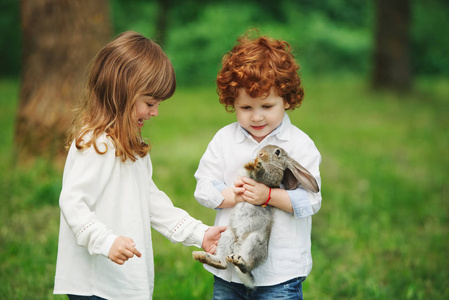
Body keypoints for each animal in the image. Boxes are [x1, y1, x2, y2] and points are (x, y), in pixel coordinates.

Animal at [192, 145, 318, 288]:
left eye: (277, 152)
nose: (260, 153)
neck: (269, 163)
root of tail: (238, 248)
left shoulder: (273, 175)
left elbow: (264, 175)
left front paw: (257, 166)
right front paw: (250, 164)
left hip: (254, 241)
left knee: (244, 265)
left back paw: (239, 262)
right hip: (227, 236)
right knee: (223, 263)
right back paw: (202, 256)